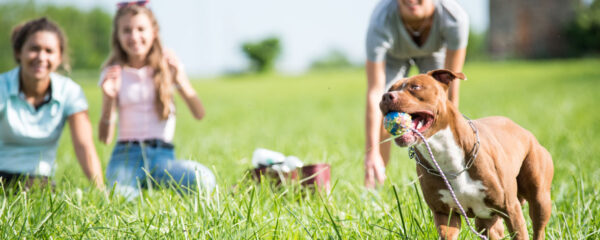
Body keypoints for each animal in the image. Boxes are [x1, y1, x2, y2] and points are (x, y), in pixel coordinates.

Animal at [382, 68, 556, 239]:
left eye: (415, 87)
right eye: (390, 89)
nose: (385, 96)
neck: (444, 153)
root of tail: (524, 131)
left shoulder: (511, 210)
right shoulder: (445, 215)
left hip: (540, 198)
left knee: (539, 226)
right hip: (486, 222)